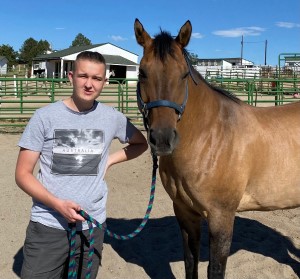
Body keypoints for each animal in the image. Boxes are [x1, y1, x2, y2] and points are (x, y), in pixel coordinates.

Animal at [134, 18, 300, 278]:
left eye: (184, 74)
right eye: (142, 73)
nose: (162, 139)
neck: (210, 138)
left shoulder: (221, 218)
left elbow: (215, 269)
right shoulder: (185, 214)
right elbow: (190, 263)